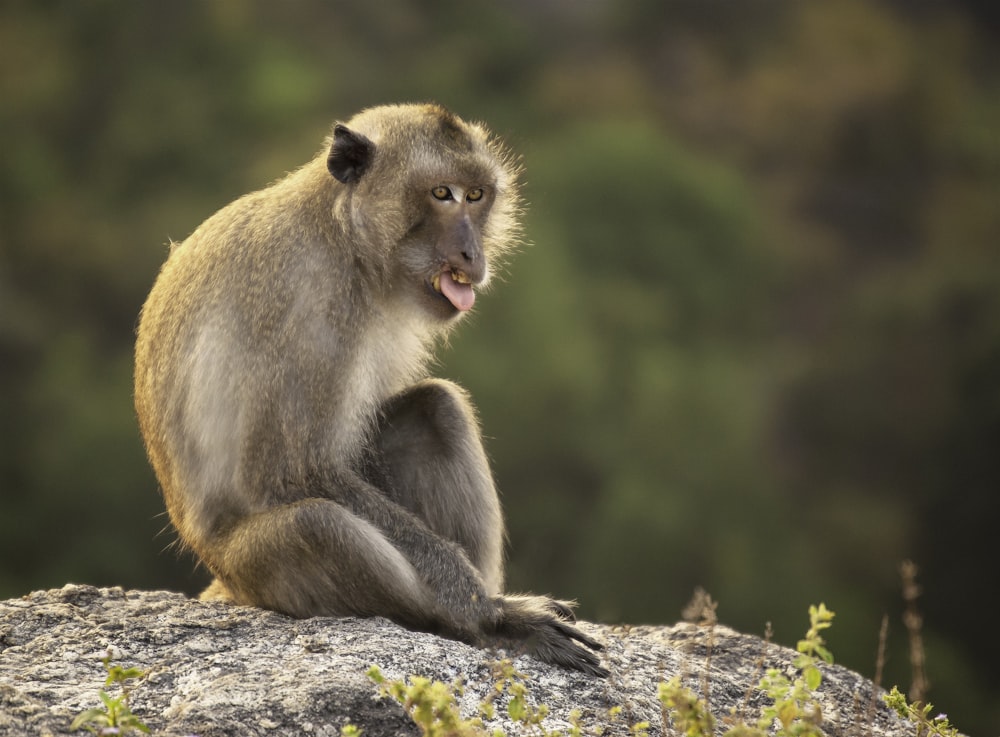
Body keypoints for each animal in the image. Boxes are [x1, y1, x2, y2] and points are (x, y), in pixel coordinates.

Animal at [131, 100, 600, 676]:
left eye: (475, 195)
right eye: (441, 193)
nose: (472, 253)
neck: (343, 237)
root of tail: (224, 583)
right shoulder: (308, 304)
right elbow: (294, 472)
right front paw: (483, 609)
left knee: (435, 408)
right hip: (255, 574)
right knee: (317, 524)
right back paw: (487, 623)